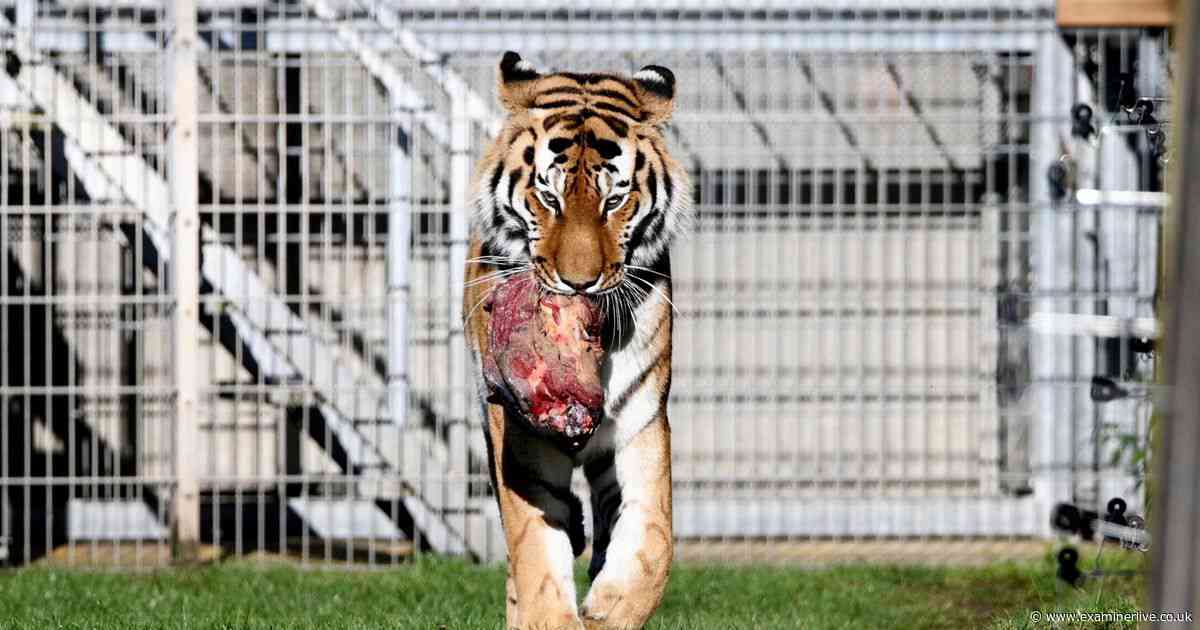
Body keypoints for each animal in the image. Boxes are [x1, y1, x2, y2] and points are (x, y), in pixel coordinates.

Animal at [462, 52, 689, 630]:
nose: (579, 283)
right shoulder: (523, 441)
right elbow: (536, 554)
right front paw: (552, 612)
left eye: (615, 200)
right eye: (549, 197)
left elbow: (653, 542)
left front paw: (609, 610)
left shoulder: (640, 427)